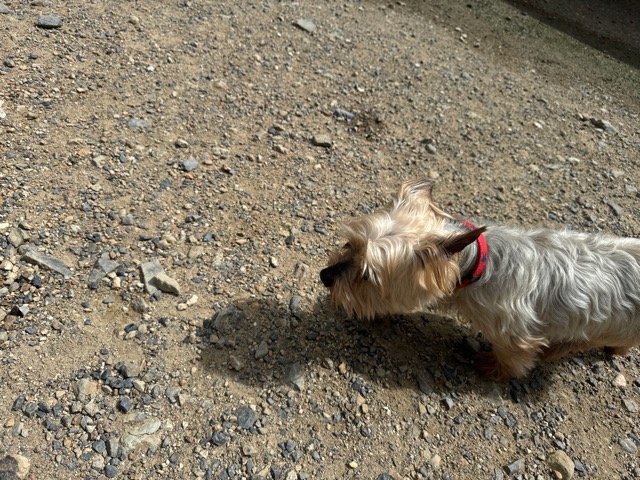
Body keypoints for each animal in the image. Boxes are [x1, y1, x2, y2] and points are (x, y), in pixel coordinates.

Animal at [320, 179, 640, 381]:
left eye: (366, 276)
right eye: (349, 245)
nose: (324, 276)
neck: (475, 265)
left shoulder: (516, 334)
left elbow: (513, 359)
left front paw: (492, 369)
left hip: (615, 326)